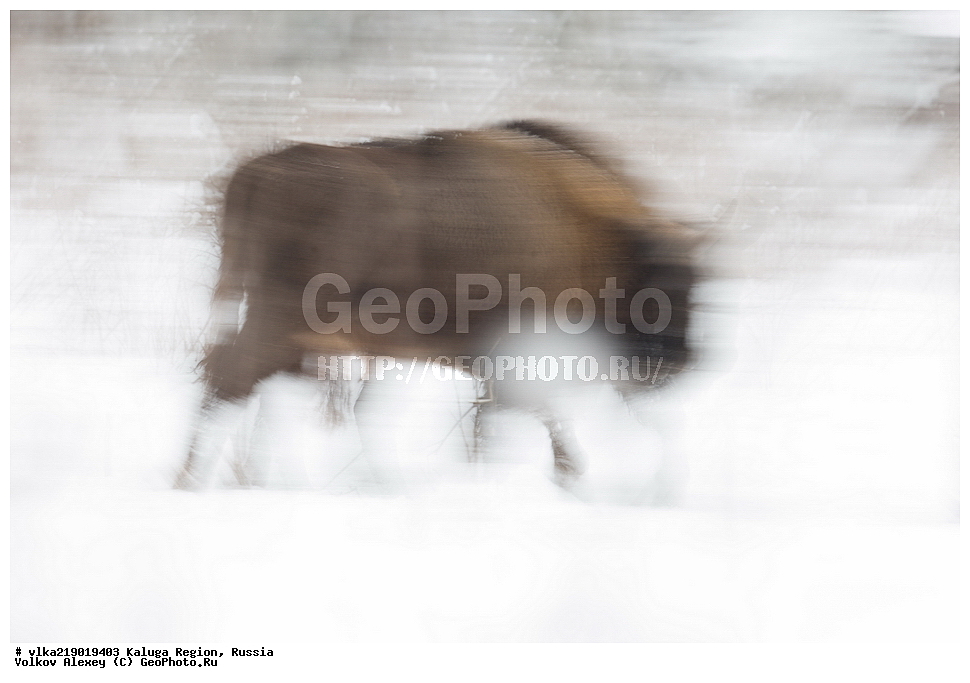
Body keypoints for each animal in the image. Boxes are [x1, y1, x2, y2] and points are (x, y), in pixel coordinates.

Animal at [176, 121, 697, 491]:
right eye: (665, 283)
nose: (681, 362)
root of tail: (260, 170)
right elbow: (525, 411)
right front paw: (566, 473)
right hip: (280, 321)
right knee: (232, 376)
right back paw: (195, 479)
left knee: (243, 379)